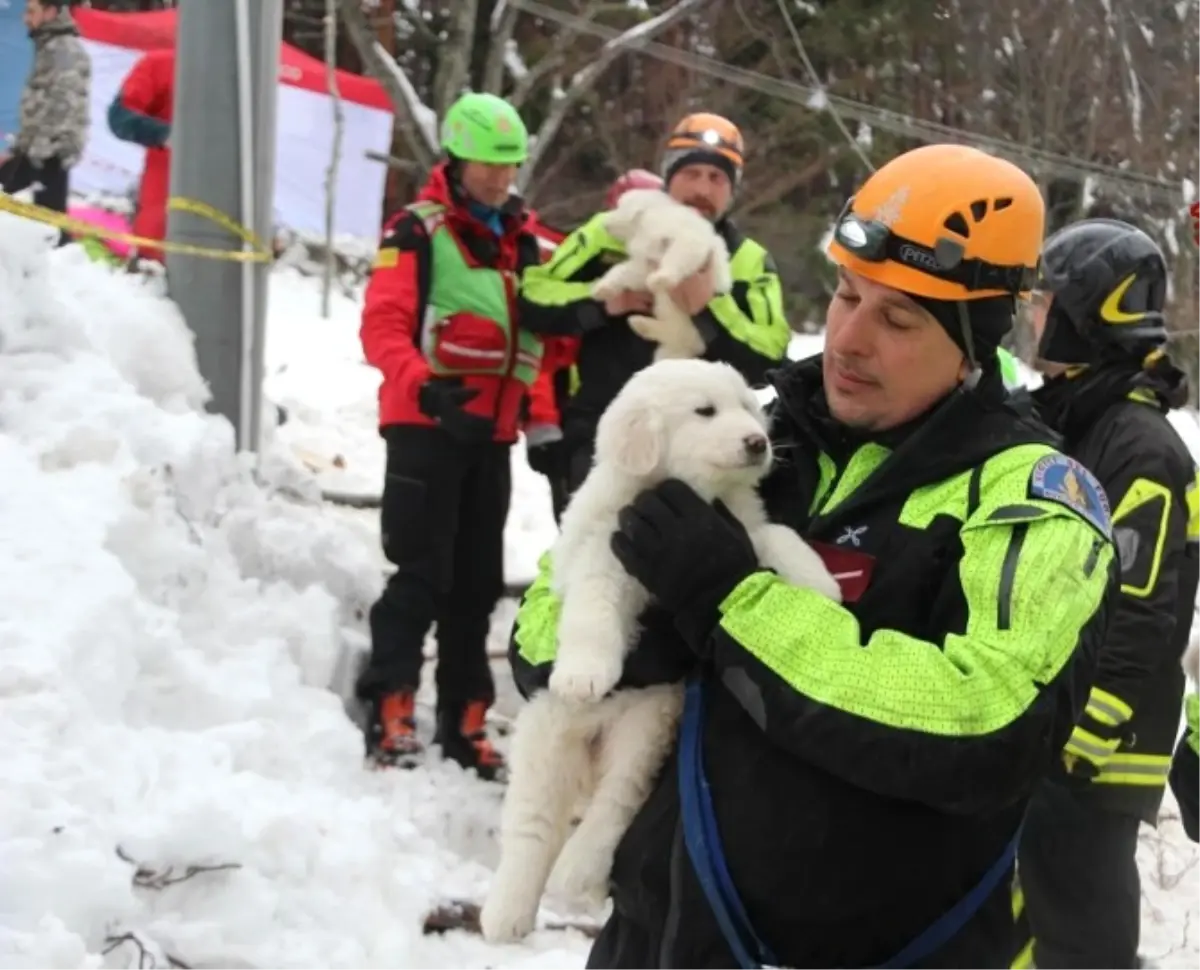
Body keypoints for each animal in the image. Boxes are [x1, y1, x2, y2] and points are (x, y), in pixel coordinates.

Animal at [480, 355, 844, 941]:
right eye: (705, 411)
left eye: (748, 407)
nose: (758, 442)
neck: (686, 493)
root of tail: (592, 744)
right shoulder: (604, 555)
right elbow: (592, 613)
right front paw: (583, 675)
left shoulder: (738, 528)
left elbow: (779, 538)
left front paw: (821, 584)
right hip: (545, 740)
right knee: (531, 827)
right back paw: (506, 913)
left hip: (647, 728)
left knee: (613, 805)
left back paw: (579, 875)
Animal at [588, 187, 729, 362]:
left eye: (619, 206)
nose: (604, 224)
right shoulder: (645, 264)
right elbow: (623, 271)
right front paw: (602, 289)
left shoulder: (688, 238)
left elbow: (678, 254)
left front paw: (661, 278)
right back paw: (640, 324)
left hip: (692, 330)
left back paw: (640, 323)